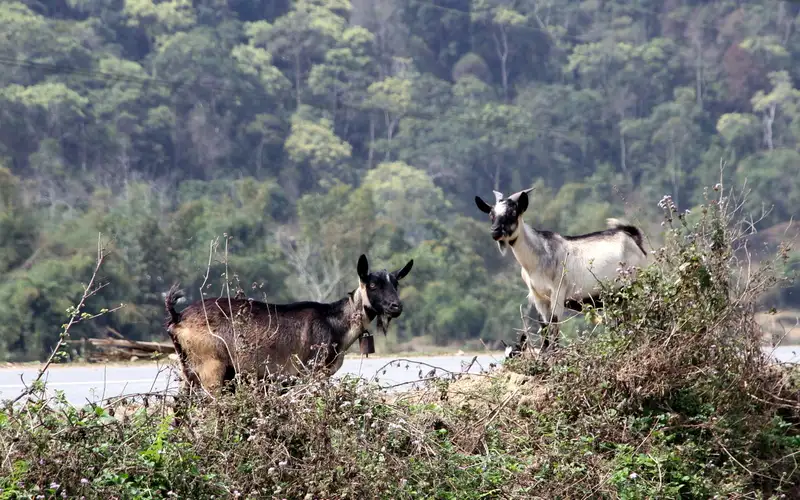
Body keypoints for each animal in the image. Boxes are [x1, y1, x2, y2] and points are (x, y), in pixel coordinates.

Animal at [476, 187, 648, 352]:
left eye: (513, 212)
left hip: (633, 287)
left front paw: (555, 352)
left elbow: (554, 323)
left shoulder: (557, 292)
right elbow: (544, 326)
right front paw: (545, 353)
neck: (539, 255)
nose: (495, 231)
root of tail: (633, 238)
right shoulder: (538, 296)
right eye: (491, 214)